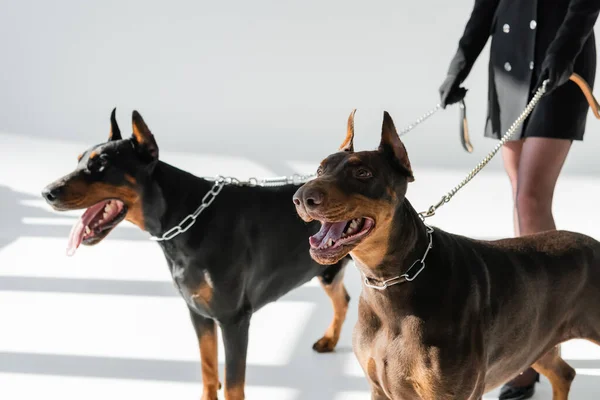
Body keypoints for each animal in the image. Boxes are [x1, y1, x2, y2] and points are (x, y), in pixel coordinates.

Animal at [41, 109, 352, 400]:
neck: (184, 219)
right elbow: (208, 365)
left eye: (101, 164)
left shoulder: (234, 318)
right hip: (328, 269)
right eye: (80, 160)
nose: (46, 192)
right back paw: (330, 340)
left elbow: (233, 383)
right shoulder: (198, 311)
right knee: (343, 298)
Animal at [292, 109, 600, 400]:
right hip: (534, 343)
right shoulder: (377, 387)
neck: (394, 280)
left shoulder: (455, 392)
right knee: (564, 373)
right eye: (319, 169)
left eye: (363, 173)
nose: (301, 197)